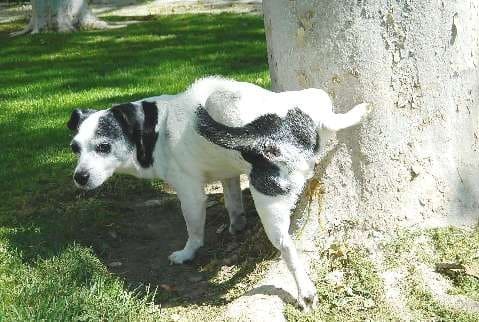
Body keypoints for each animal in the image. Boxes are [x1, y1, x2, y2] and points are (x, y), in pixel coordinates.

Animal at [67, 76, 372, 310]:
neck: (155, 130)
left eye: (103, 147)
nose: (79, 177)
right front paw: (236, 226)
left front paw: (187, 253)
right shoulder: (229, 176)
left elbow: (194, 230)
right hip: (316, 96)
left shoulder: (190, 192)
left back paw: (305, 291)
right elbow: (233, 204)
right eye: (74, 148)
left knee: (287, 248)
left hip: (268, 203)